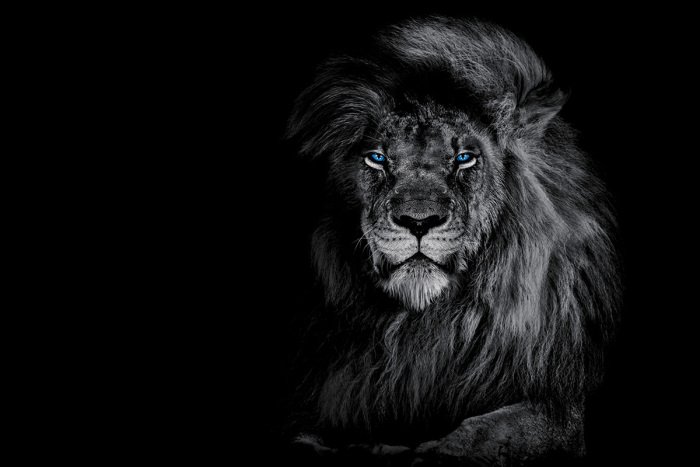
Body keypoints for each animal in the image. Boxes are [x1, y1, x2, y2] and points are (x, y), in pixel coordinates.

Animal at [284, 16, 620, 466]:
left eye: (464, 158)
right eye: (377, 158)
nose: (418, 221)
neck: (428, 326)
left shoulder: (560, 406)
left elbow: (490, 431)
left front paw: (434, 452)